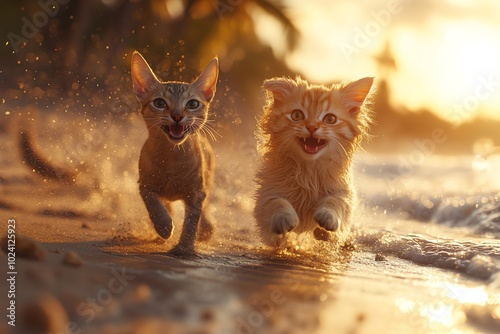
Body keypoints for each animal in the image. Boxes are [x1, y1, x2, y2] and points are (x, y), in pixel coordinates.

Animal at [256, 77, 374, 247]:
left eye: (330, 119)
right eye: (297, 115)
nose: (311, 127)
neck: (309, 169)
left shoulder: (344, 193)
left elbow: (334, 201)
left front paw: (327, 219)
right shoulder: (268, 192)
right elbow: (277, 202)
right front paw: (284, 218)